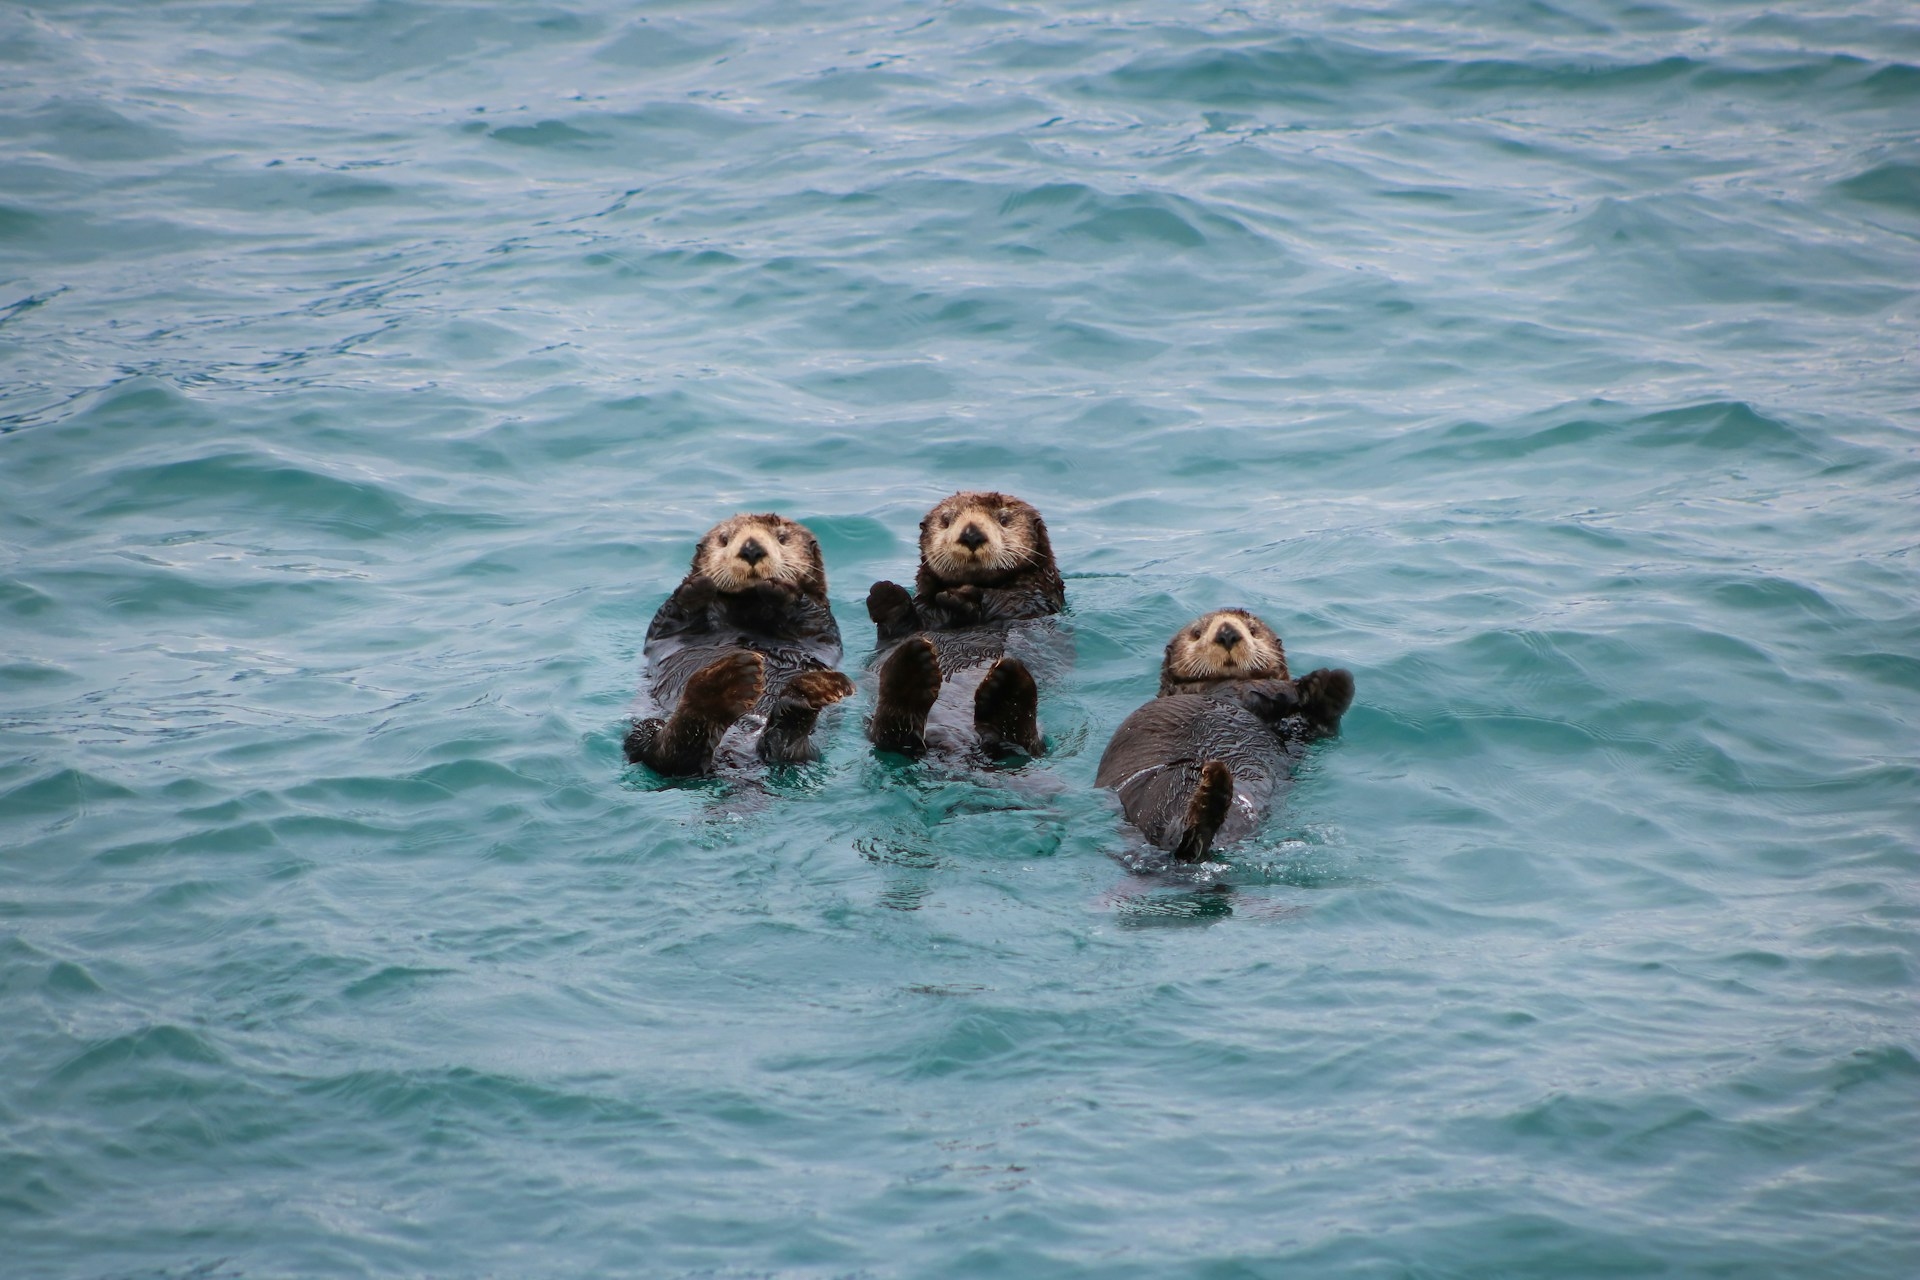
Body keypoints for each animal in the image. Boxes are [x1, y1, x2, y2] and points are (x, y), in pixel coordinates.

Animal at [623, 513, 855, 776]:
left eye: (782, 538)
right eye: (724, 539)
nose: (751, 549)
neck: (748, 608)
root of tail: (736, 754)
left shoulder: (822, 625)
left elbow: (812, 616)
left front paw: (779, 589)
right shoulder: (666, 627)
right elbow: (671, 618)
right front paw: (698, 585)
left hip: (809, 751)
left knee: (784, 750)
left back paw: (805, 694)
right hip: (645, 727)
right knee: (664, 754)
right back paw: (724, 685)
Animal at [864, 491, 1067, 758]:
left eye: (1004, 519)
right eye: (946, 520)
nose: (971, 534)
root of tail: (953, 742)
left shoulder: (1033, 600)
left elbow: (1007, 601)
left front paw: (961, 597)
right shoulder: (919, 619)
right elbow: (900, 625)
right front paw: (886, 594)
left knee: (1024, 745)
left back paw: (1007, 686)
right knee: (890, 735)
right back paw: (912, 668)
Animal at [1095, 609, 1354, 862]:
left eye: (1253, 630)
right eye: (1197, 633)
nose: (1227, 633)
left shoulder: (1295, 736)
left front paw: (1332, 687)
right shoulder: (1230, 690)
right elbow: (1260, 689)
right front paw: (1313, 684)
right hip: (1161, 789)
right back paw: (1211, 794)